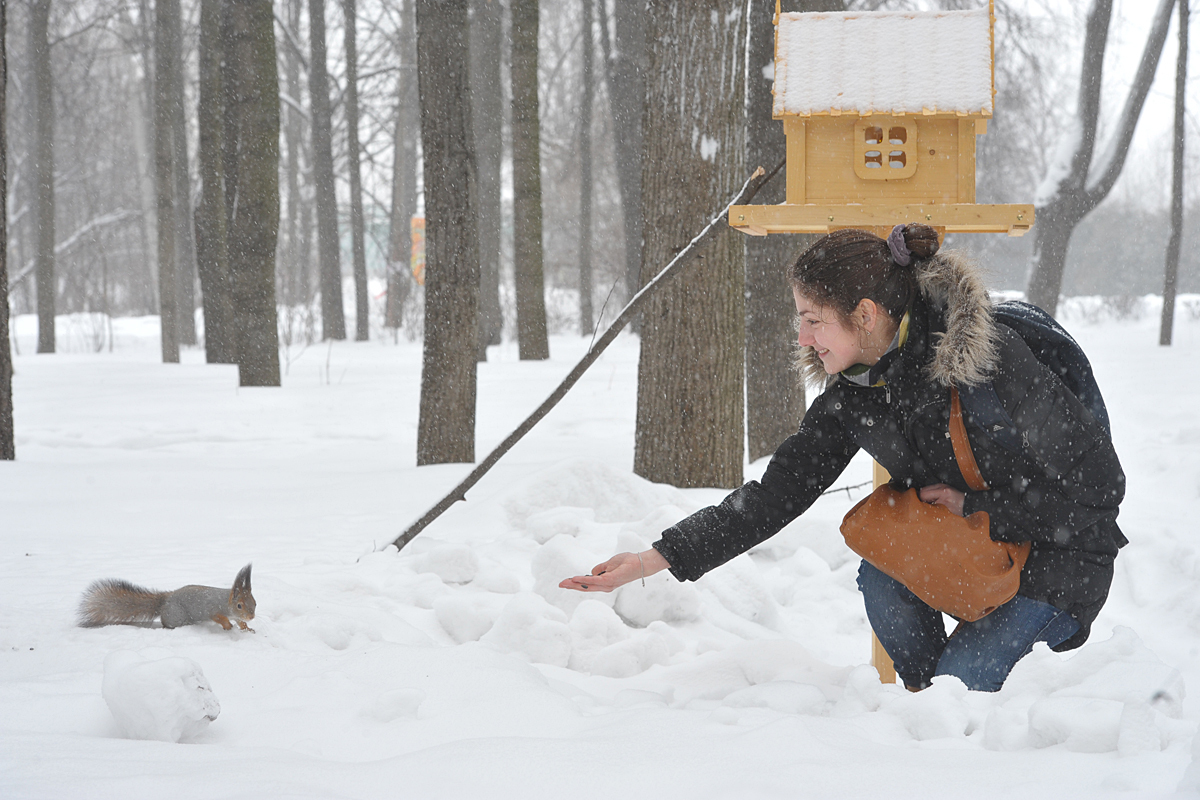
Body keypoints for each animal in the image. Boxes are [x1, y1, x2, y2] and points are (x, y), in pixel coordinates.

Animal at [78, 563, 256, 633]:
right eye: (239, 605)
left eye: (254, 602)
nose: (251, 616)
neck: (225, 601)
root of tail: (165, 601)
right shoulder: (212, 608)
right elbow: (218, 617)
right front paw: (227, 625)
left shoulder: (236, 616)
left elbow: (240, 622)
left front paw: (247, 628)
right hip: (177, 616)